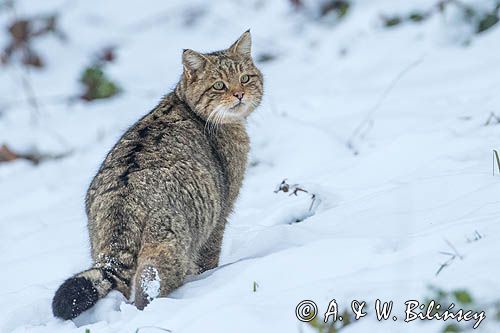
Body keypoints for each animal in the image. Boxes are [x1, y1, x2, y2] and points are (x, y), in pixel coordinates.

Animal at [52, 31, 264, 320]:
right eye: (219, 85)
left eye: (245, 78)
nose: (239, 94)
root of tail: (121, 205)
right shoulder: (221, 212)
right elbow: (209, 257)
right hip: (167, 243)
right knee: (151, 284)